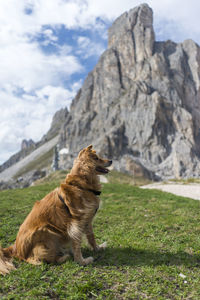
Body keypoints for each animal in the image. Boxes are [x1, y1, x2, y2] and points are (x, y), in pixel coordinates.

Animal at [0, 145, 111, 274]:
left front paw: (98, 248)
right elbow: (77, 243)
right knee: (36, 259)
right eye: (96, 158)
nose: (111, 160)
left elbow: (91, 237)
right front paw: (82, 261)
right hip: (47, 231)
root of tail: (16, 249)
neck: (81, 185)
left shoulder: (87, 219)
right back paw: (64, 257)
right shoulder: (76, 223)